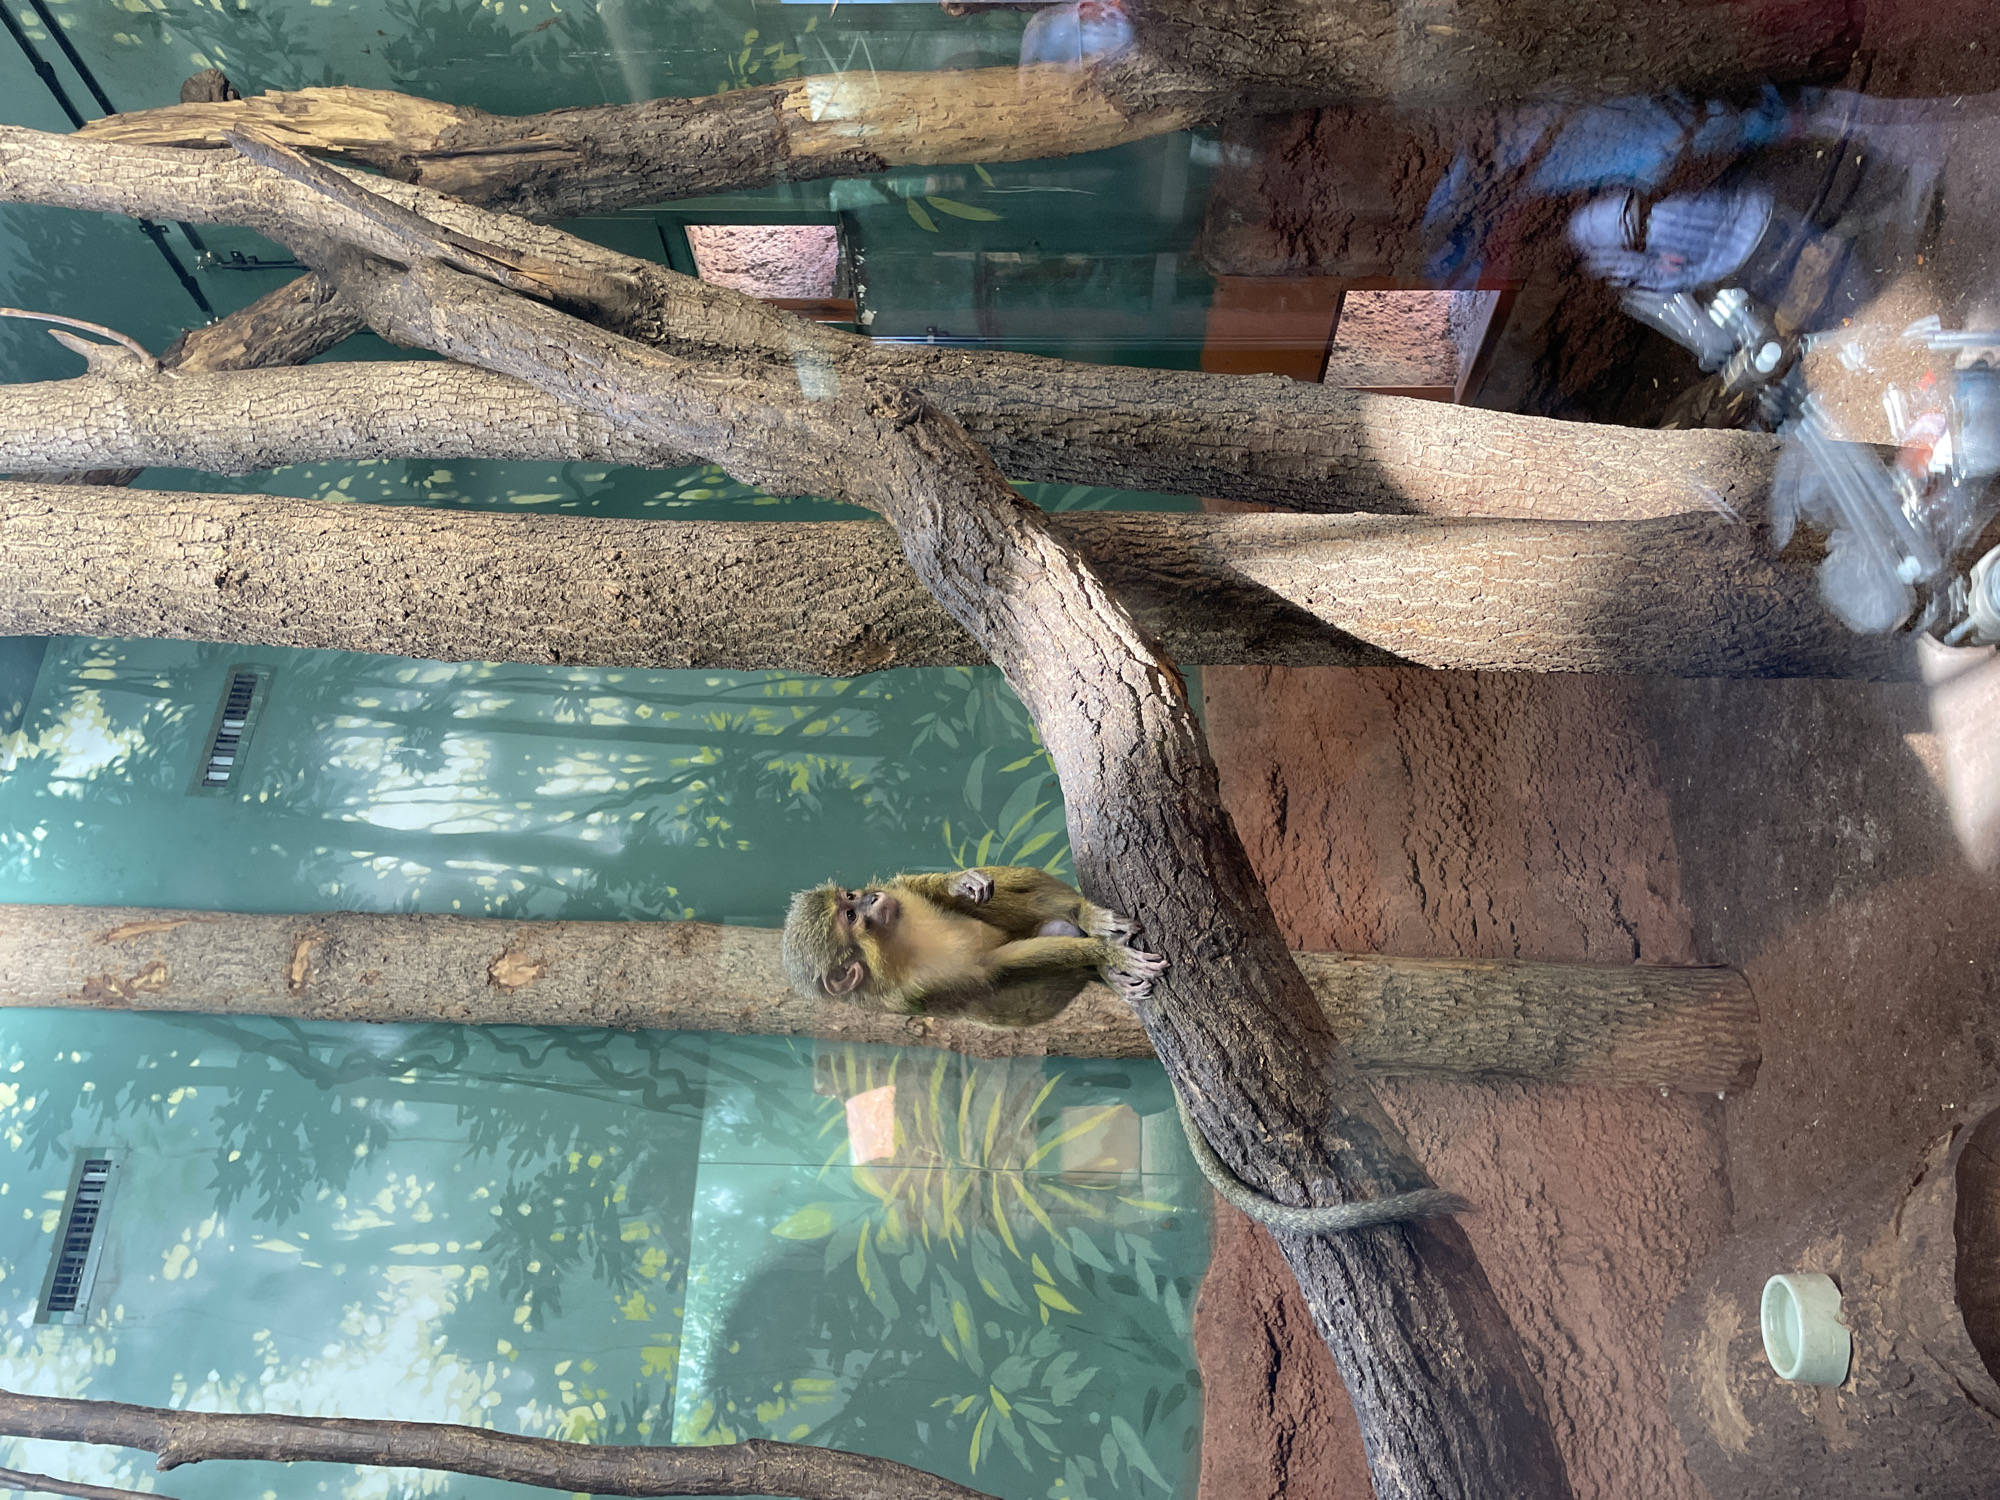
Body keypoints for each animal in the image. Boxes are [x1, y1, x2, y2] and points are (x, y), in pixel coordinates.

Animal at [783, 865, 1468, 1235]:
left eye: (852, 900)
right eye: (849, 918)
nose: (866, 900)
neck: (896, 948)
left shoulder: (904, 901)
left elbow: (928, 885)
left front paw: (961, 879)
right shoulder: (916, 993)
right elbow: (994, 973)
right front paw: (1104, 957)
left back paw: (1081, 912)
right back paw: (1098, 955)